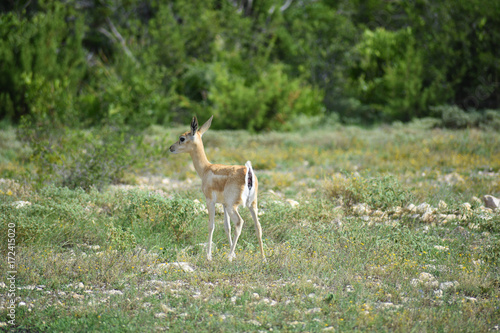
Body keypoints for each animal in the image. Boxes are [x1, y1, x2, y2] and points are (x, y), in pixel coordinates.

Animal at [169, 115, 266, 260]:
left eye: (182, 138)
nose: (171, 147)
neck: (206, 169)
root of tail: (248, 172)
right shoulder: (224, 205)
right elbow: (227, 227)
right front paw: (234, 254)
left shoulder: (210, 201)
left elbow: (211, 225)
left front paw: (209, 255)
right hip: (252, 204)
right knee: (258, 226)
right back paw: (263, 258)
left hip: (234, 207)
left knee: (239, 223)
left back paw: (229, 257)